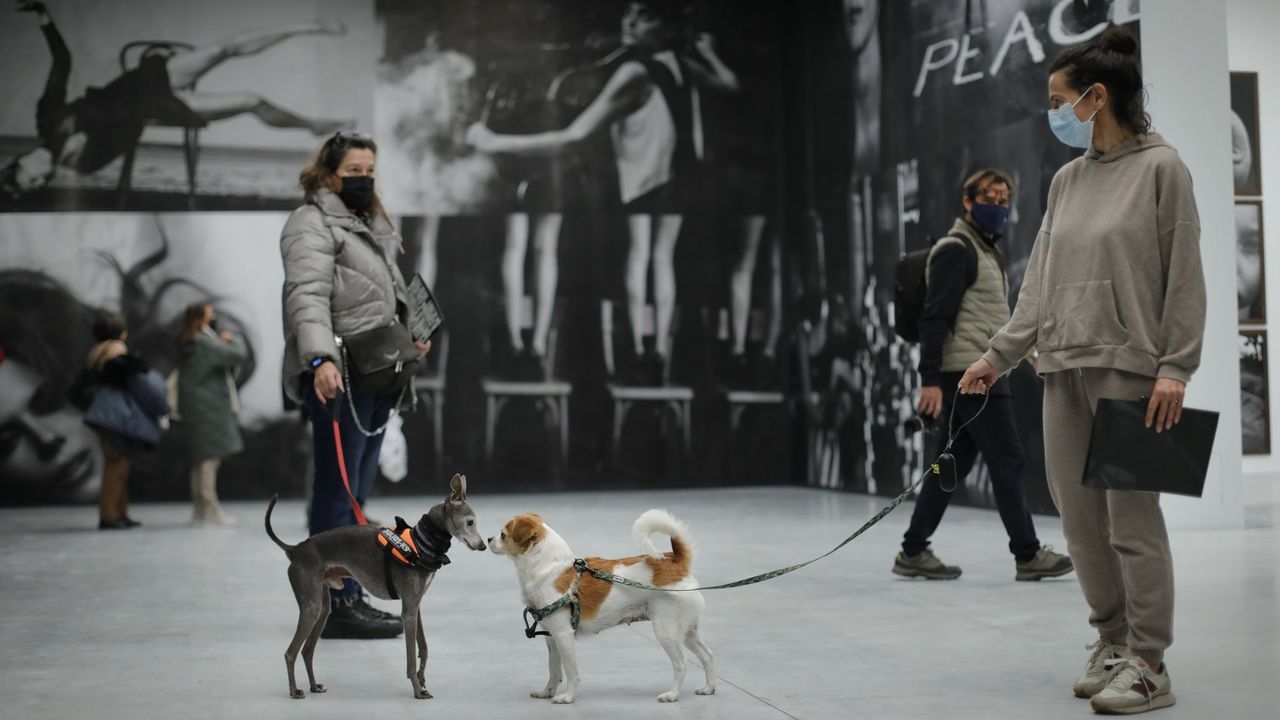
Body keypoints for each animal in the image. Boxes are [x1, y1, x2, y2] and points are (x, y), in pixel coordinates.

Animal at [264, 471, 483, 696]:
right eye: (470, 522)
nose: (483, 545)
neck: (421, 543)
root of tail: (295, 549)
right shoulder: (408, 612)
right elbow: (411, 659)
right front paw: (417, 689)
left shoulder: (415, 606)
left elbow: (423, 647)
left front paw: (422, 681)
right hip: (311, 607)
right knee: (290, 653)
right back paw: (294, 691)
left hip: (322, 608)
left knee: (307, 651)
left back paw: (314, 686)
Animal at [486, 509, 716, 702]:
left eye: (503, 534)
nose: (488, 539)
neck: (549, 568)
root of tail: (675, 561)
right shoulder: (551, 637)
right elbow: (554, 670)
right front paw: (547, 692)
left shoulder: (563, 635)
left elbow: (570, 671)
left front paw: (567, 697)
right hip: (686, 631)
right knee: (707, 655)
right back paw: (709, 688)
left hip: (666, 630)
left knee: (681, 664)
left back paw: (672, 694)